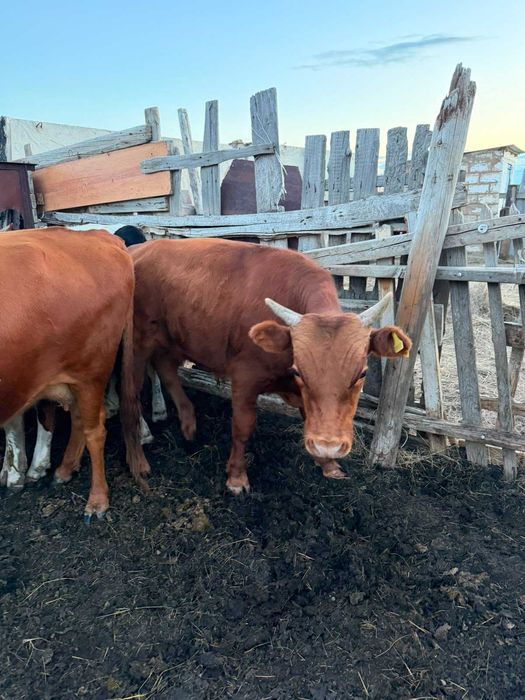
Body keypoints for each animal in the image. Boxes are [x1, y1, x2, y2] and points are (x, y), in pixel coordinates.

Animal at [0, 227, 149, 518]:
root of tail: (99, 235)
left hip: (90, 371)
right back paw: (64, 470)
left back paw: (98, 499)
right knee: (79, 418)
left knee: (95, 429)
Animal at [124, 238, 411, 494]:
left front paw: (328, 463)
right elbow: (242, 426)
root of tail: (136, 249)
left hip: (170, 338)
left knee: (166, 370)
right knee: (132, 392)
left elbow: (309, 417)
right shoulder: (245, 377)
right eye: (298, 371)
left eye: (362, 374)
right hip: (137, 343)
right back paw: (143, 438)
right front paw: (236, 477)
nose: (328, 446)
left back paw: (188, 423)